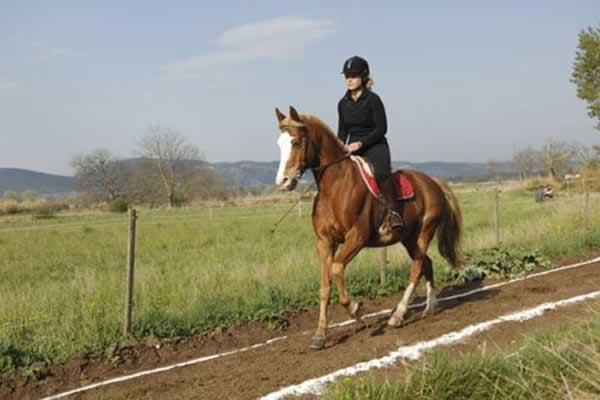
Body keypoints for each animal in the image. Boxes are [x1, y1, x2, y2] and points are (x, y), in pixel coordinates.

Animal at [274, 104, 462, 348]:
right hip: (408, 238)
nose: (283, 182)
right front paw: (320, 335)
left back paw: (397, 316)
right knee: (426, 263)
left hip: (423, 232)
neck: (335, 187)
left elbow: (336, 269)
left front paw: (356, 310)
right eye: (279, 143)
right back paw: (430, 307)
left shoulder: (357, 238)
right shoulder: (324, 242)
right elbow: (324, 286)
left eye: (296, 141)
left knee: (418, 266)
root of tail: (433, 182)